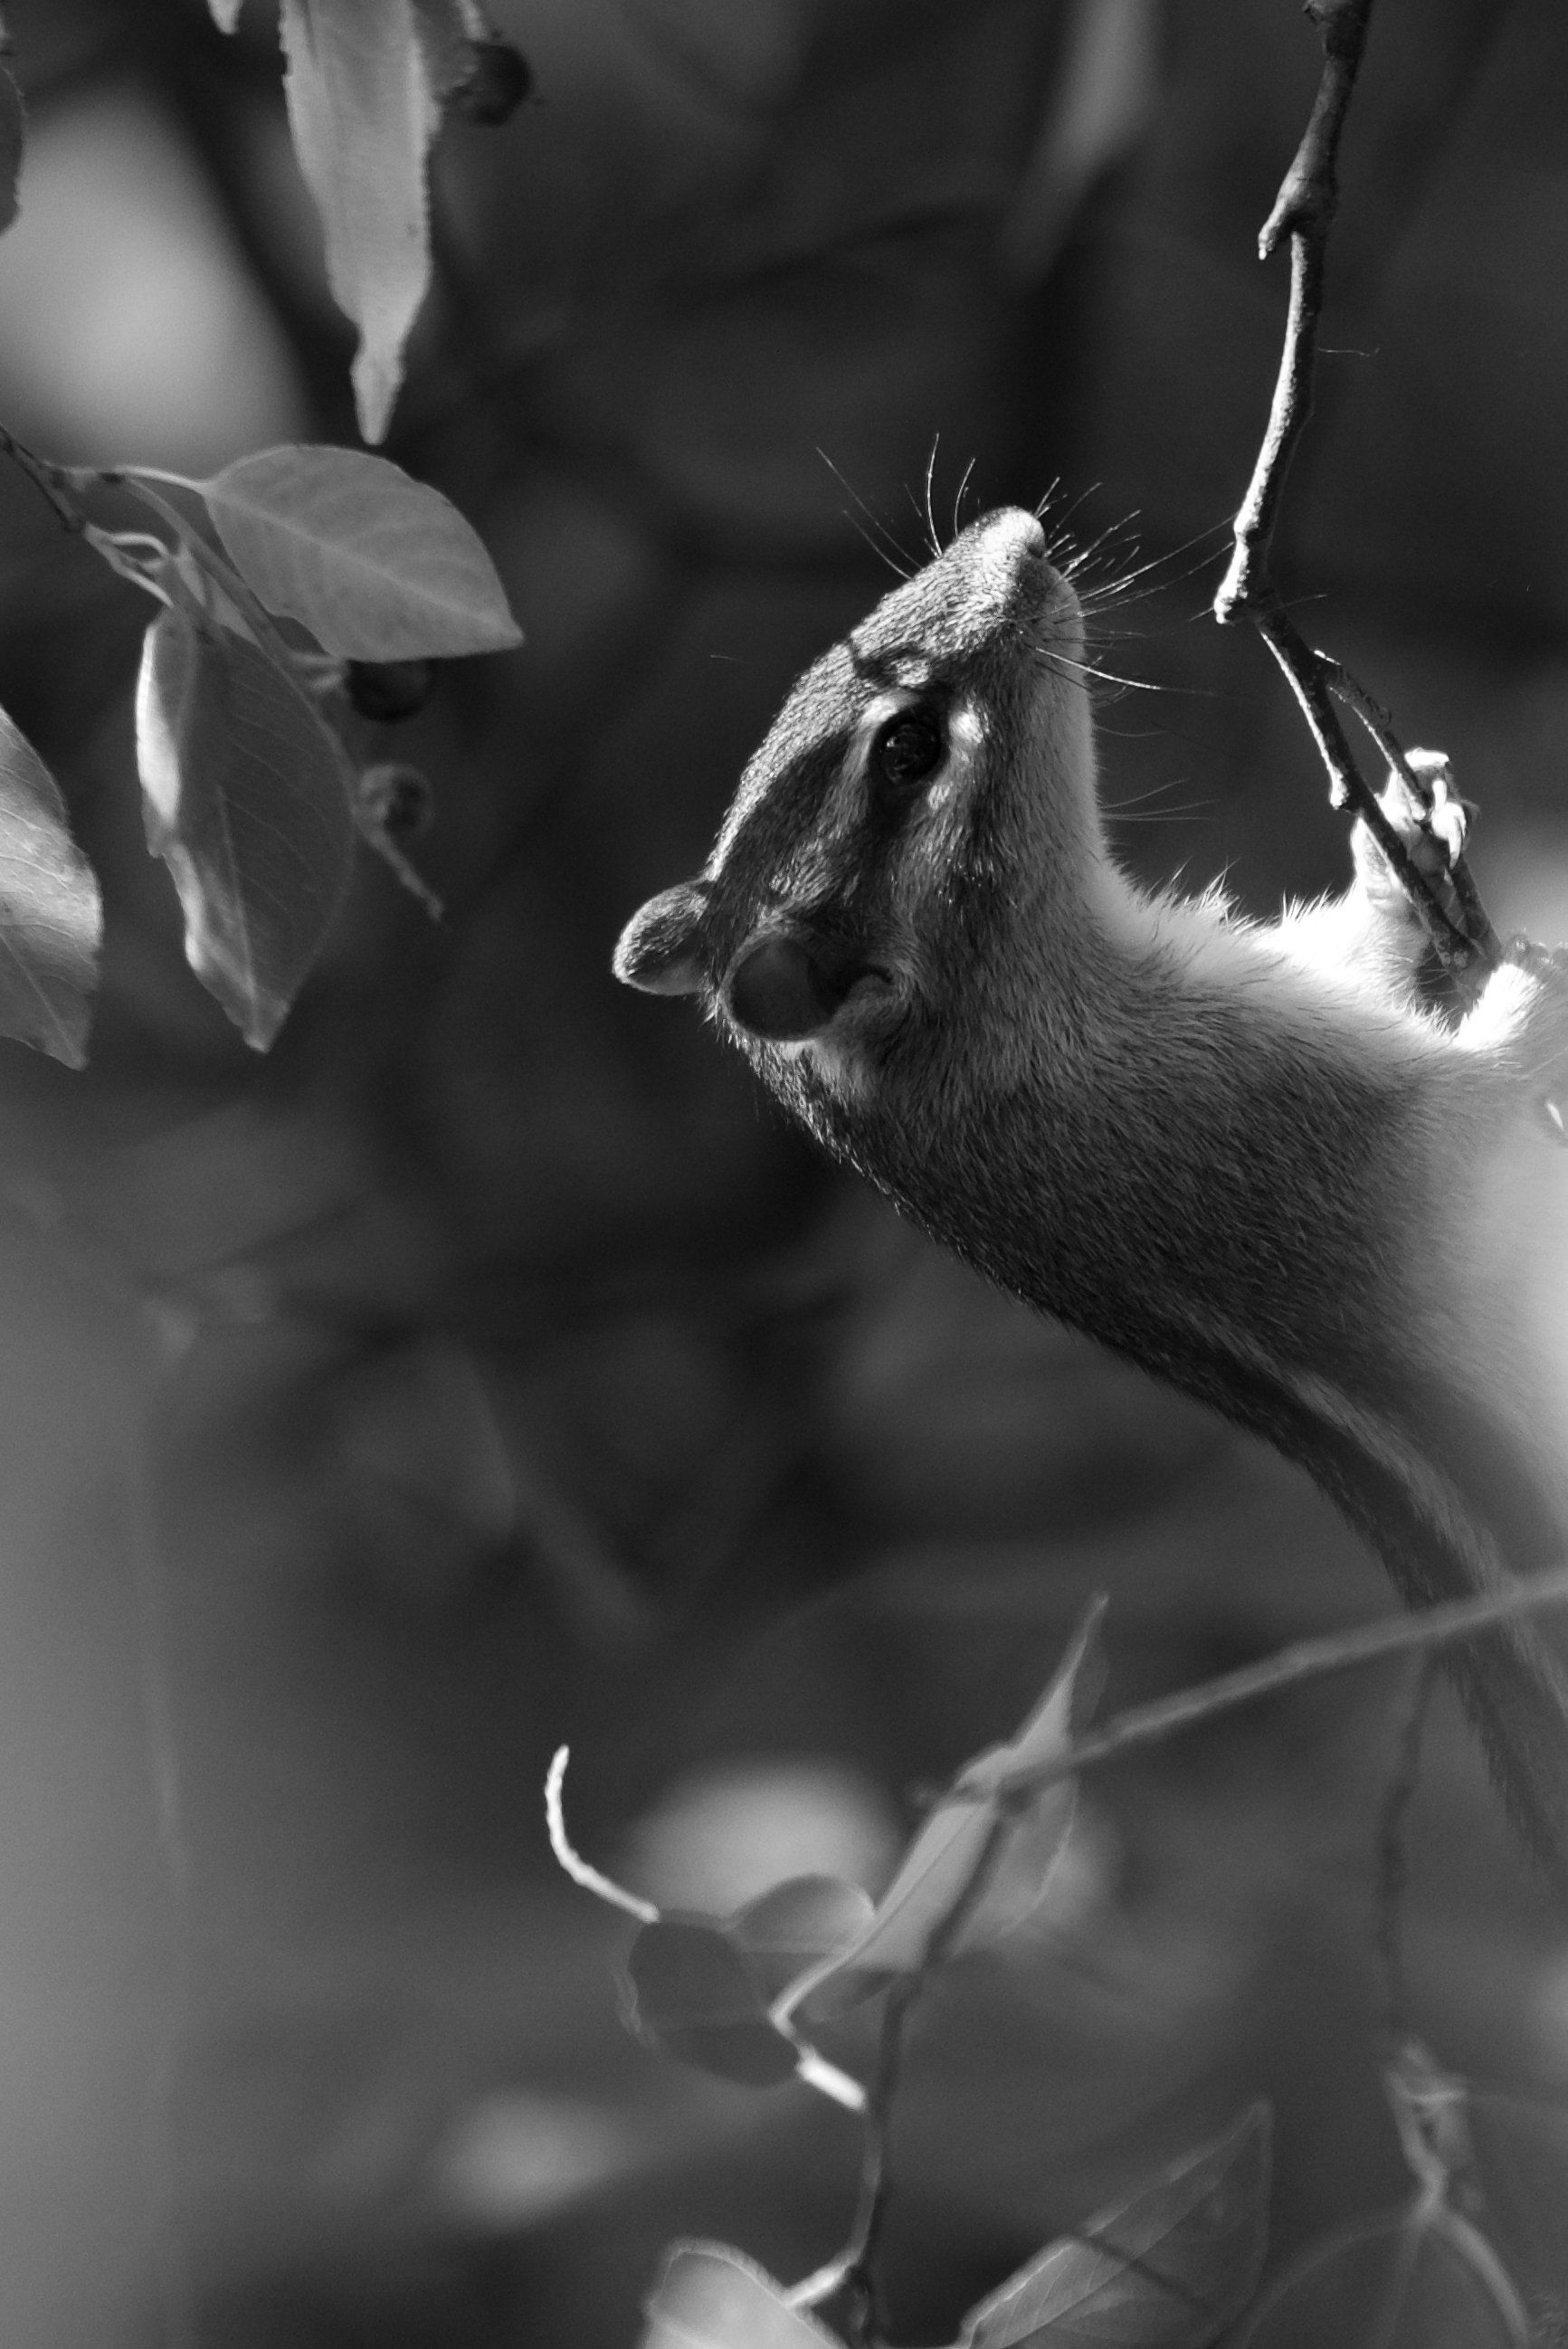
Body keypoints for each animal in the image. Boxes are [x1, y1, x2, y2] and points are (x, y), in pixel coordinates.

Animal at [613, 504, 1568, 1879]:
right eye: (907, 748)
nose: (1009, 528)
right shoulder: (1274, 1113)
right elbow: (1465, 1115)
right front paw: (1526, 1005)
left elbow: (1358, 950)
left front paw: (1404, 844)